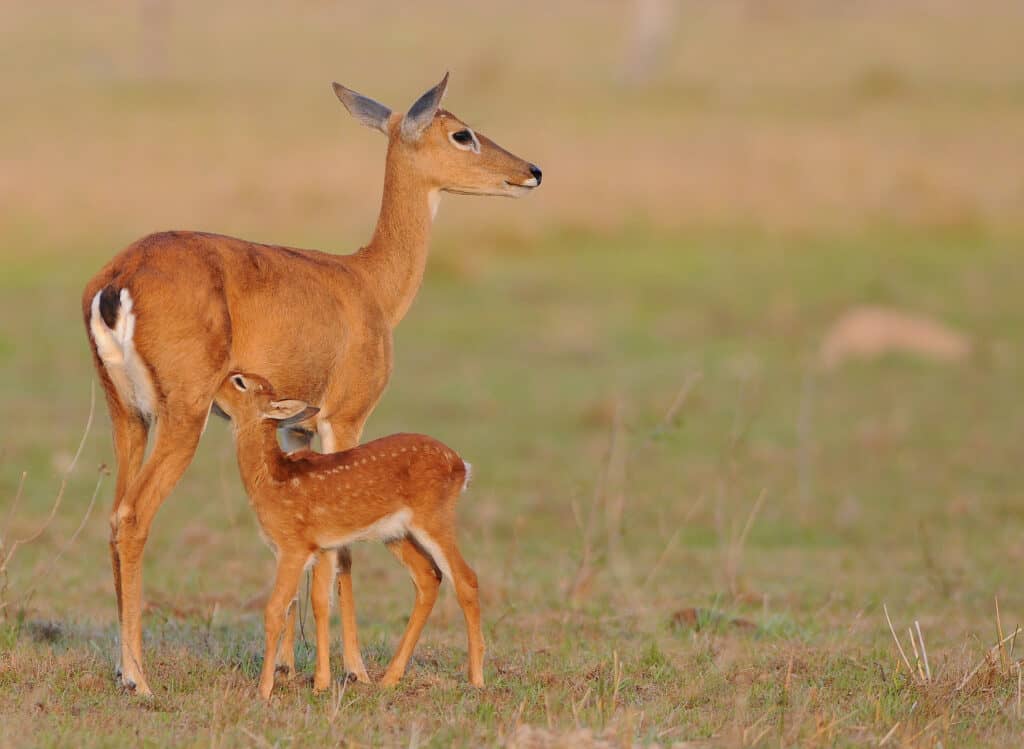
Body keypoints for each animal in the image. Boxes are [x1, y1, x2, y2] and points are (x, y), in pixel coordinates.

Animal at [83, 73, 540, 692]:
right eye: (461, 132)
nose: (531, 171)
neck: (368, 282)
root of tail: (118, 280)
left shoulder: (294, 429)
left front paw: (288, 666)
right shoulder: (344, 418)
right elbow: (342, 551)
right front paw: (353, 670)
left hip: (127, 415)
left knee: (113, 513)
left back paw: (122, 668)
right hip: (184, 416)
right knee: (133, 517)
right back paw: (140, 678)